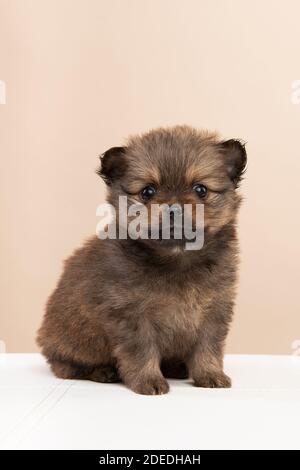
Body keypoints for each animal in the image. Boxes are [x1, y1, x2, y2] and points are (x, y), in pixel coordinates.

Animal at [37, 125, 246, 392]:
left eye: (200, 189)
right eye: (148, 191)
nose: (174, 208)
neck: (176, 257)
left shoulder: (214, 310)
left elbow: (207, 347)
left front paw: (210, 374)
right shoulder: (131, 315)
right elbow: (141, 351)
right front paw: (148, 381)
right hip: (70, 342)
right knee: (66, 366)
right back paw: (103, 372)